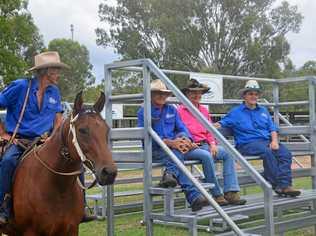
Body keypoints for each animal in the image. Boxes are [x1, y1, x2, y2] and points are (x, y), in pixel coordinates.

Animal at [1, 91, 117, 235]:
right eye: (82, 130)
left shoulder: (72, 229)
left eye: (106, 129)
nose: (109, 172)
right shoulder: (30, 231)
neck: (58, 187)